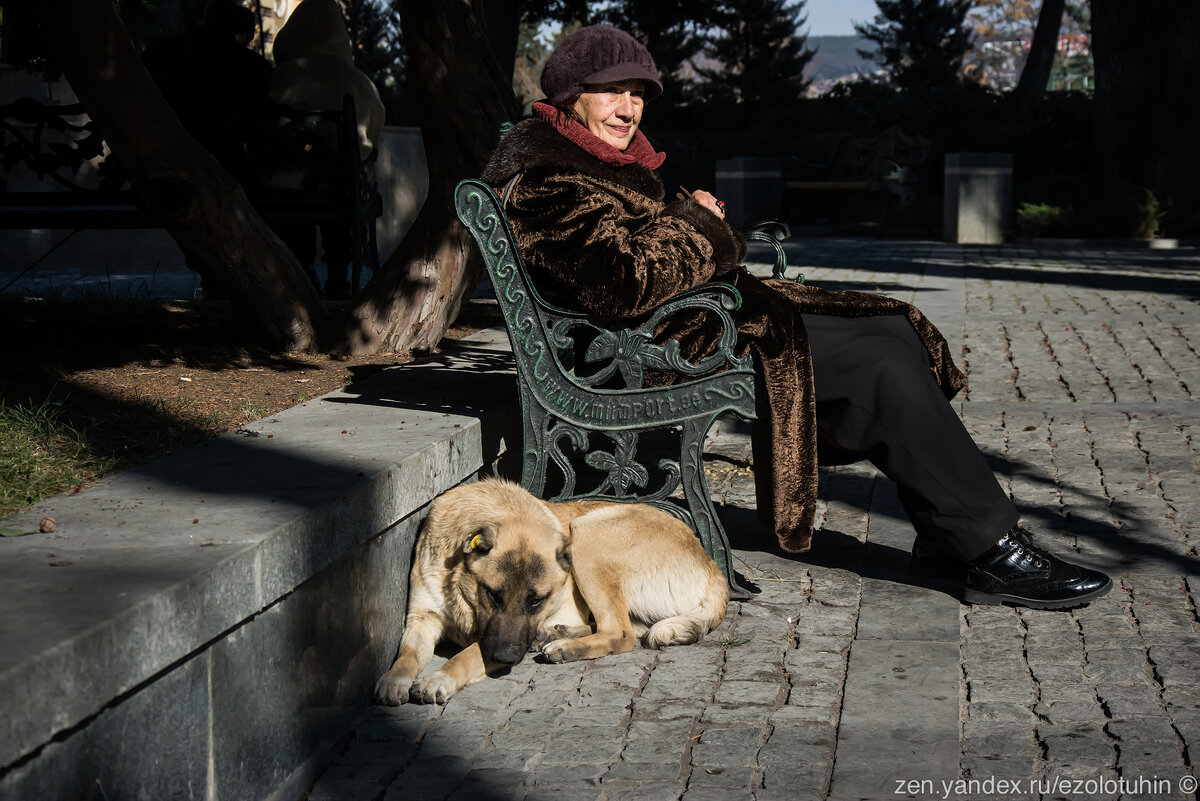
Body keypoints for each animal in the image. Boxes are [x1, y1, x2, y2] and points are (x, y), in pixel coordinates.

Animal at [379, 479, 724, 705]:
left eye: (536, 601)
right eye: (493, 595)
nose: (508, 656)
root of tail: (713, 569)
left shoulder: (494, 639)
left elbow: (468, 653)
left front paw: (440, 677)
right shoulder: (422, 617)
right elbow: (407, 653)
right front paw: (395, 678)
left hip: (587, 535)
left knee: (621, 633)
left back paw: (565, 646)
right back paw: (556, 635)